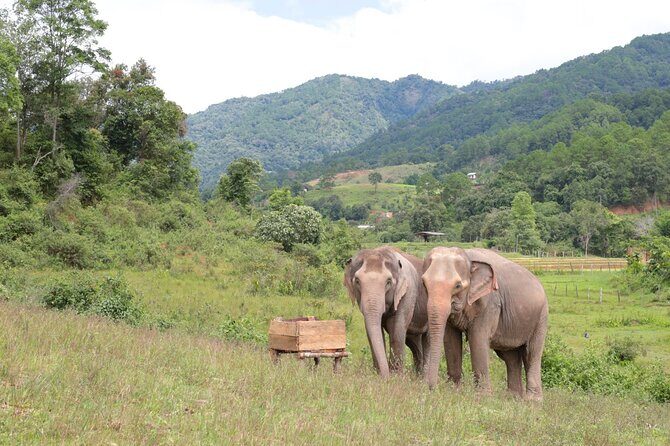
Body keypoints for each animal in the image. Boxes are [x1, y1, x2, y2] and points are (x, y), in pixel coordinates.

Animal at [344, 247, 428, 378]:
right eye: (357, 281)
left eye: (388, 282)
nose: (385, 376)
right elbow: (373, 332)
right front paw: (378, 374)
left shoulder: (408, 293)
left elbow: (397, 330)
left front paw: (396, 377)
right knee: (415, 343)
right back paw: (418, 377)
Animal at [422, 247, 548, 400]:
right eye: (424, 284)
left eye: (458, 285)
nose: (431, 389)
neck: (468, 257)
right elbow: (451, 340)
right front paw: (453, 391)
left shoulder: (489, 304)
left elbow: (478, 339)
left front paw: (482, 398)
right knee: (510, 357)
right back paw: (513, 398)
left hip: (541, 317)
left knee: (531, 352)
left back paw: (532, 400)